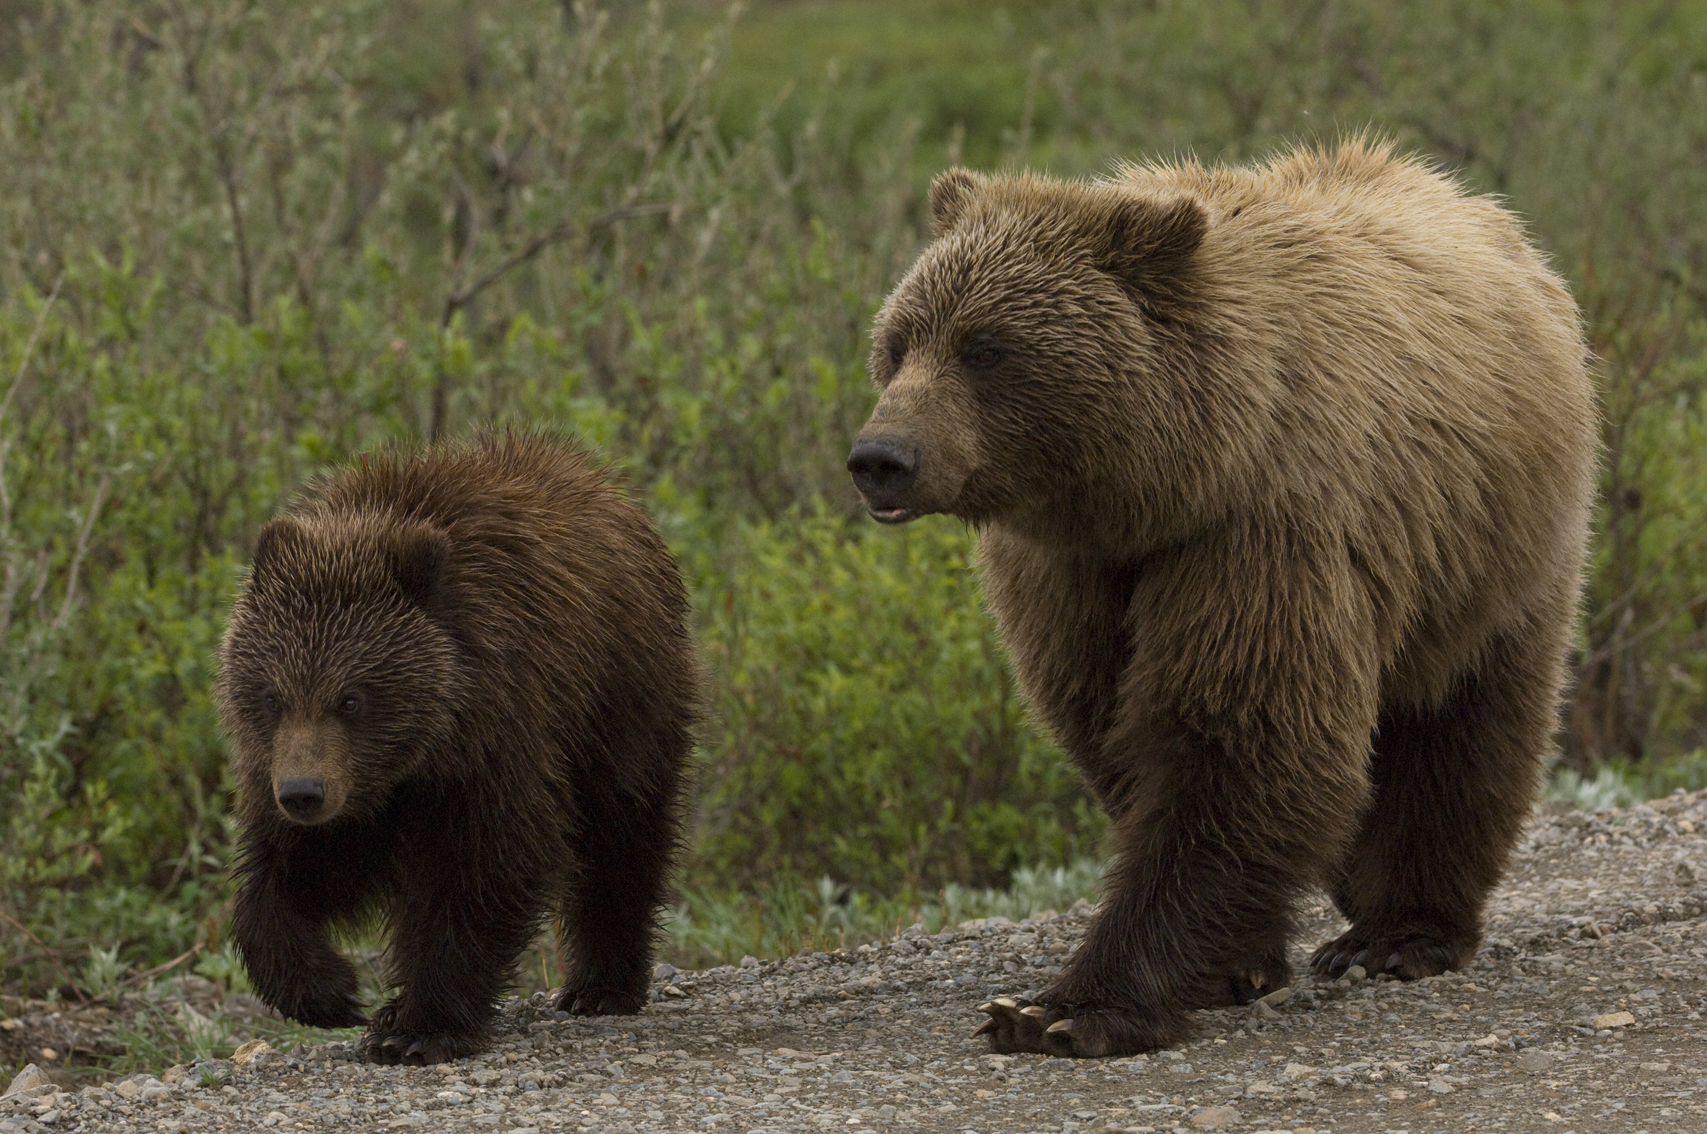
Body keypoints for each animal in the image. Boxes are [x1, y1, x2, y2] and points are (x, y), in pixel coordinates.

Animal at [215, 430, 699, 1065]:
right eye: (273, 695)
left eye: (352, 698)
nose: (302, 794)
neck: (420, 755)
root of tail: (605, 485)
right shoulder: (330, 781)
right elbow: (290, 874)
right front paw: (329, 993)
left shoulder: (500, 738)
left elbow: (485, 870)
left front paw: (420, 1027)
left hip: (619, 703)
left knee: (622, 833)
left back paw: (601, 985)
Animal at [847, 138, 1597, 1057]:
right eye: (898, 341)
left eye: (985, 348)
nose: (881, 457)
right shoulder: (1073, 573)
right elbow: (1112, 725)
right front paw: (1233, 963)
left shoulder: (1259, 532)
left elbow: (1238, 736)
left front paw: (1064, 1009)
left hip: (1489, 554)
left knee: (1463, 728)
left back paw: (1396, 932)